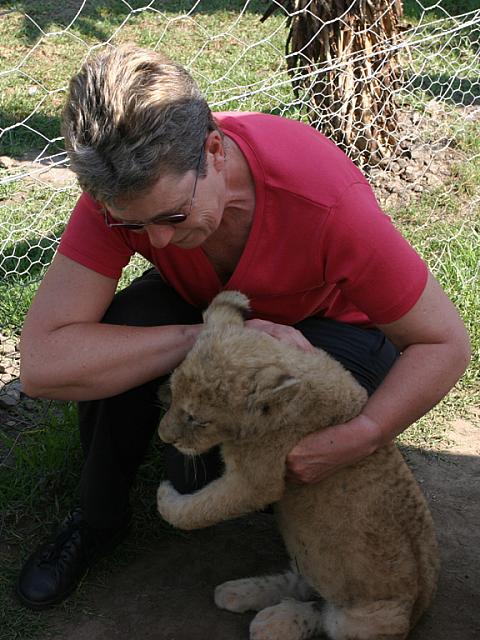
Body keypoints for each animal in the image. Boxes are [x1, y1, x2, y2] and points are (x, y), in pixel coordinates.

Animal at [157, 291, 439, 640]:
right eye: (173, 391)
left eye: (198, 419)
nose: (163, 437)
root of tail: (418, 611)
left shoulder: (257, 482)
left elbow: (200, 510)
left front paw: (165, 499)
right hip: (309, 560)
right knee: (302, 580)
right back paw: (239, 593)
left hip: (377, 618)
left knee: (323, 613)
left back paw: (273, 623)